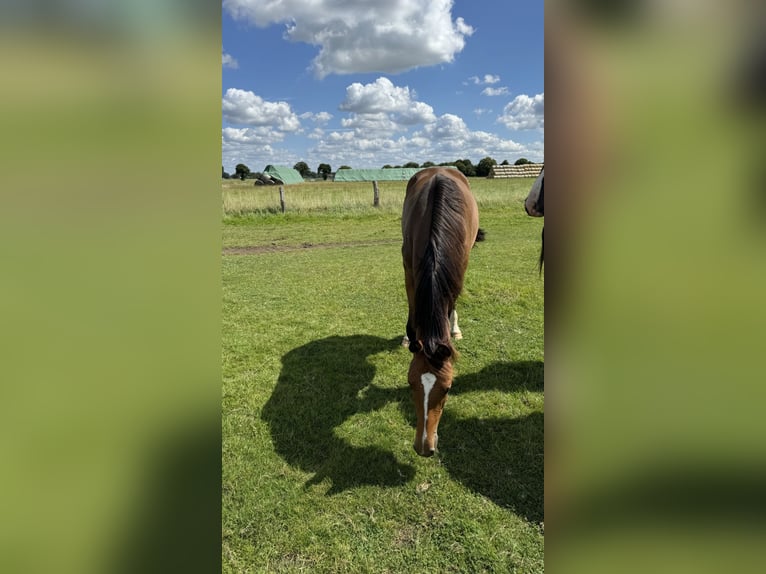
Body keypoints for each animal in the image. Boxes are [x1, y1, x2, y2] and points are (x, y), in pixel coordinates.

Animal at [404, 168, 484, 460]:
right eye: (410, 384)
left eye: (448, 388)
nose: (424, 447)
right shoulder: (409, 264)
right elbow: (412, 302)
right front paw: (409, 336)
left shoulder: (460, 266)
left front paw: (453, 329)